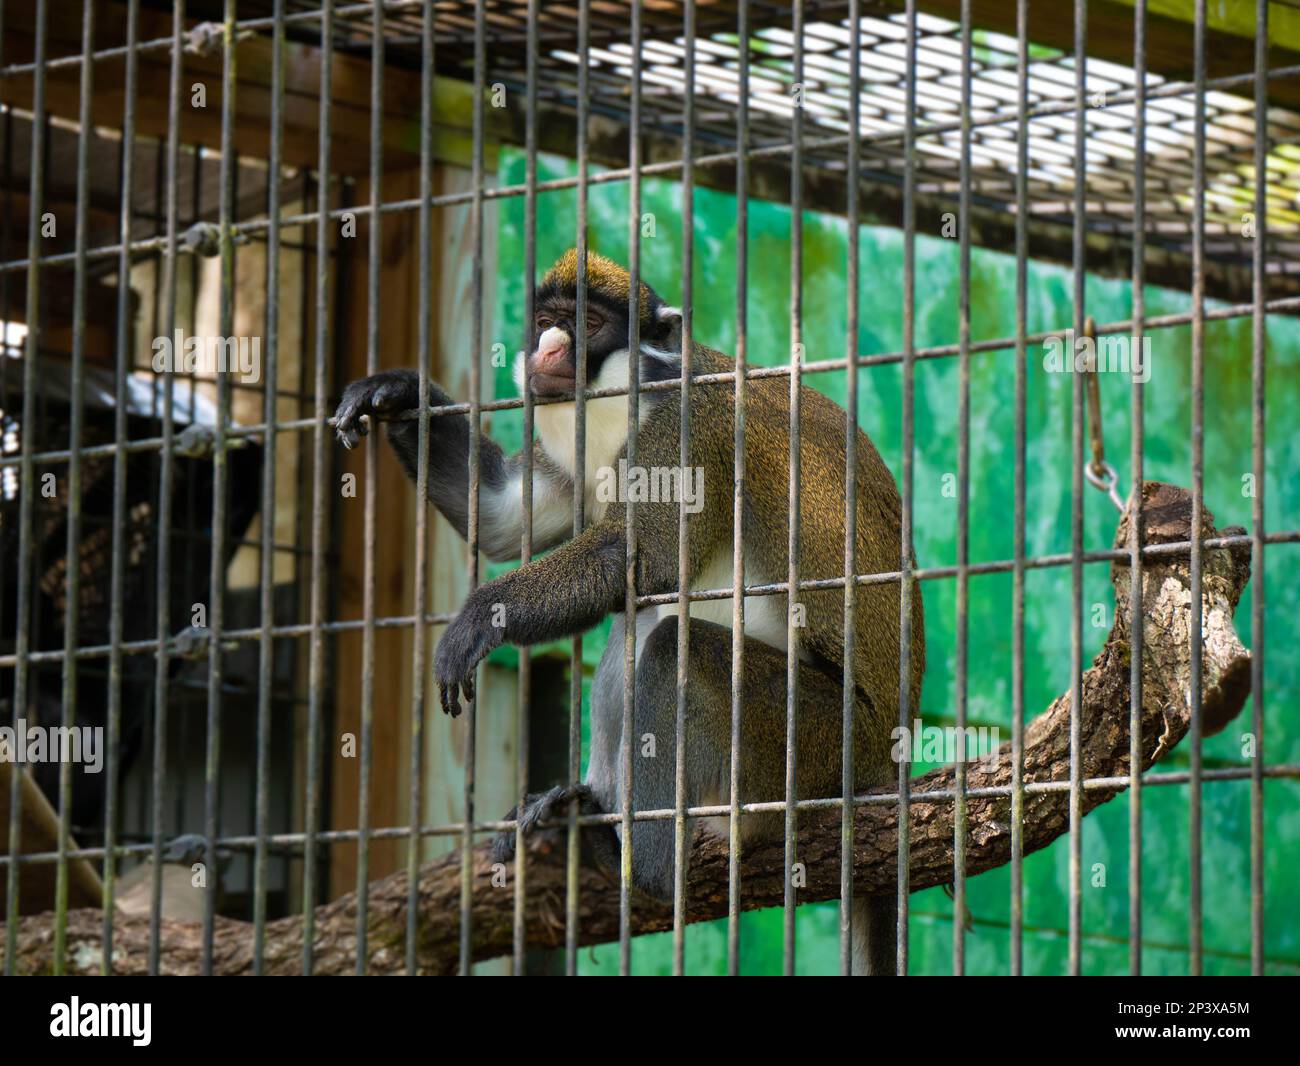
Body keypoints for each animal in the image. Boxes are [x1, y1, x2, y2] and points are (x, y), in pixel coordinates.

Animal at [335, 248, 925, 972]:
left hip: (818, 743)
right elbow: (502, 515)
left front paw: (478, 618)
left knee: (671, 646)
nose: (548, 349)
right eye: (545, 320)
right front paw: (397, 392)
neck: (630, 400)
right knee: (637, 624)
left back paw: (635, 865)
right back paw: (583, 808)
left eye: (587, 326)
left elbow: (644, 557)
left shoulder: (688, 431)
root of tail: (888, 759)